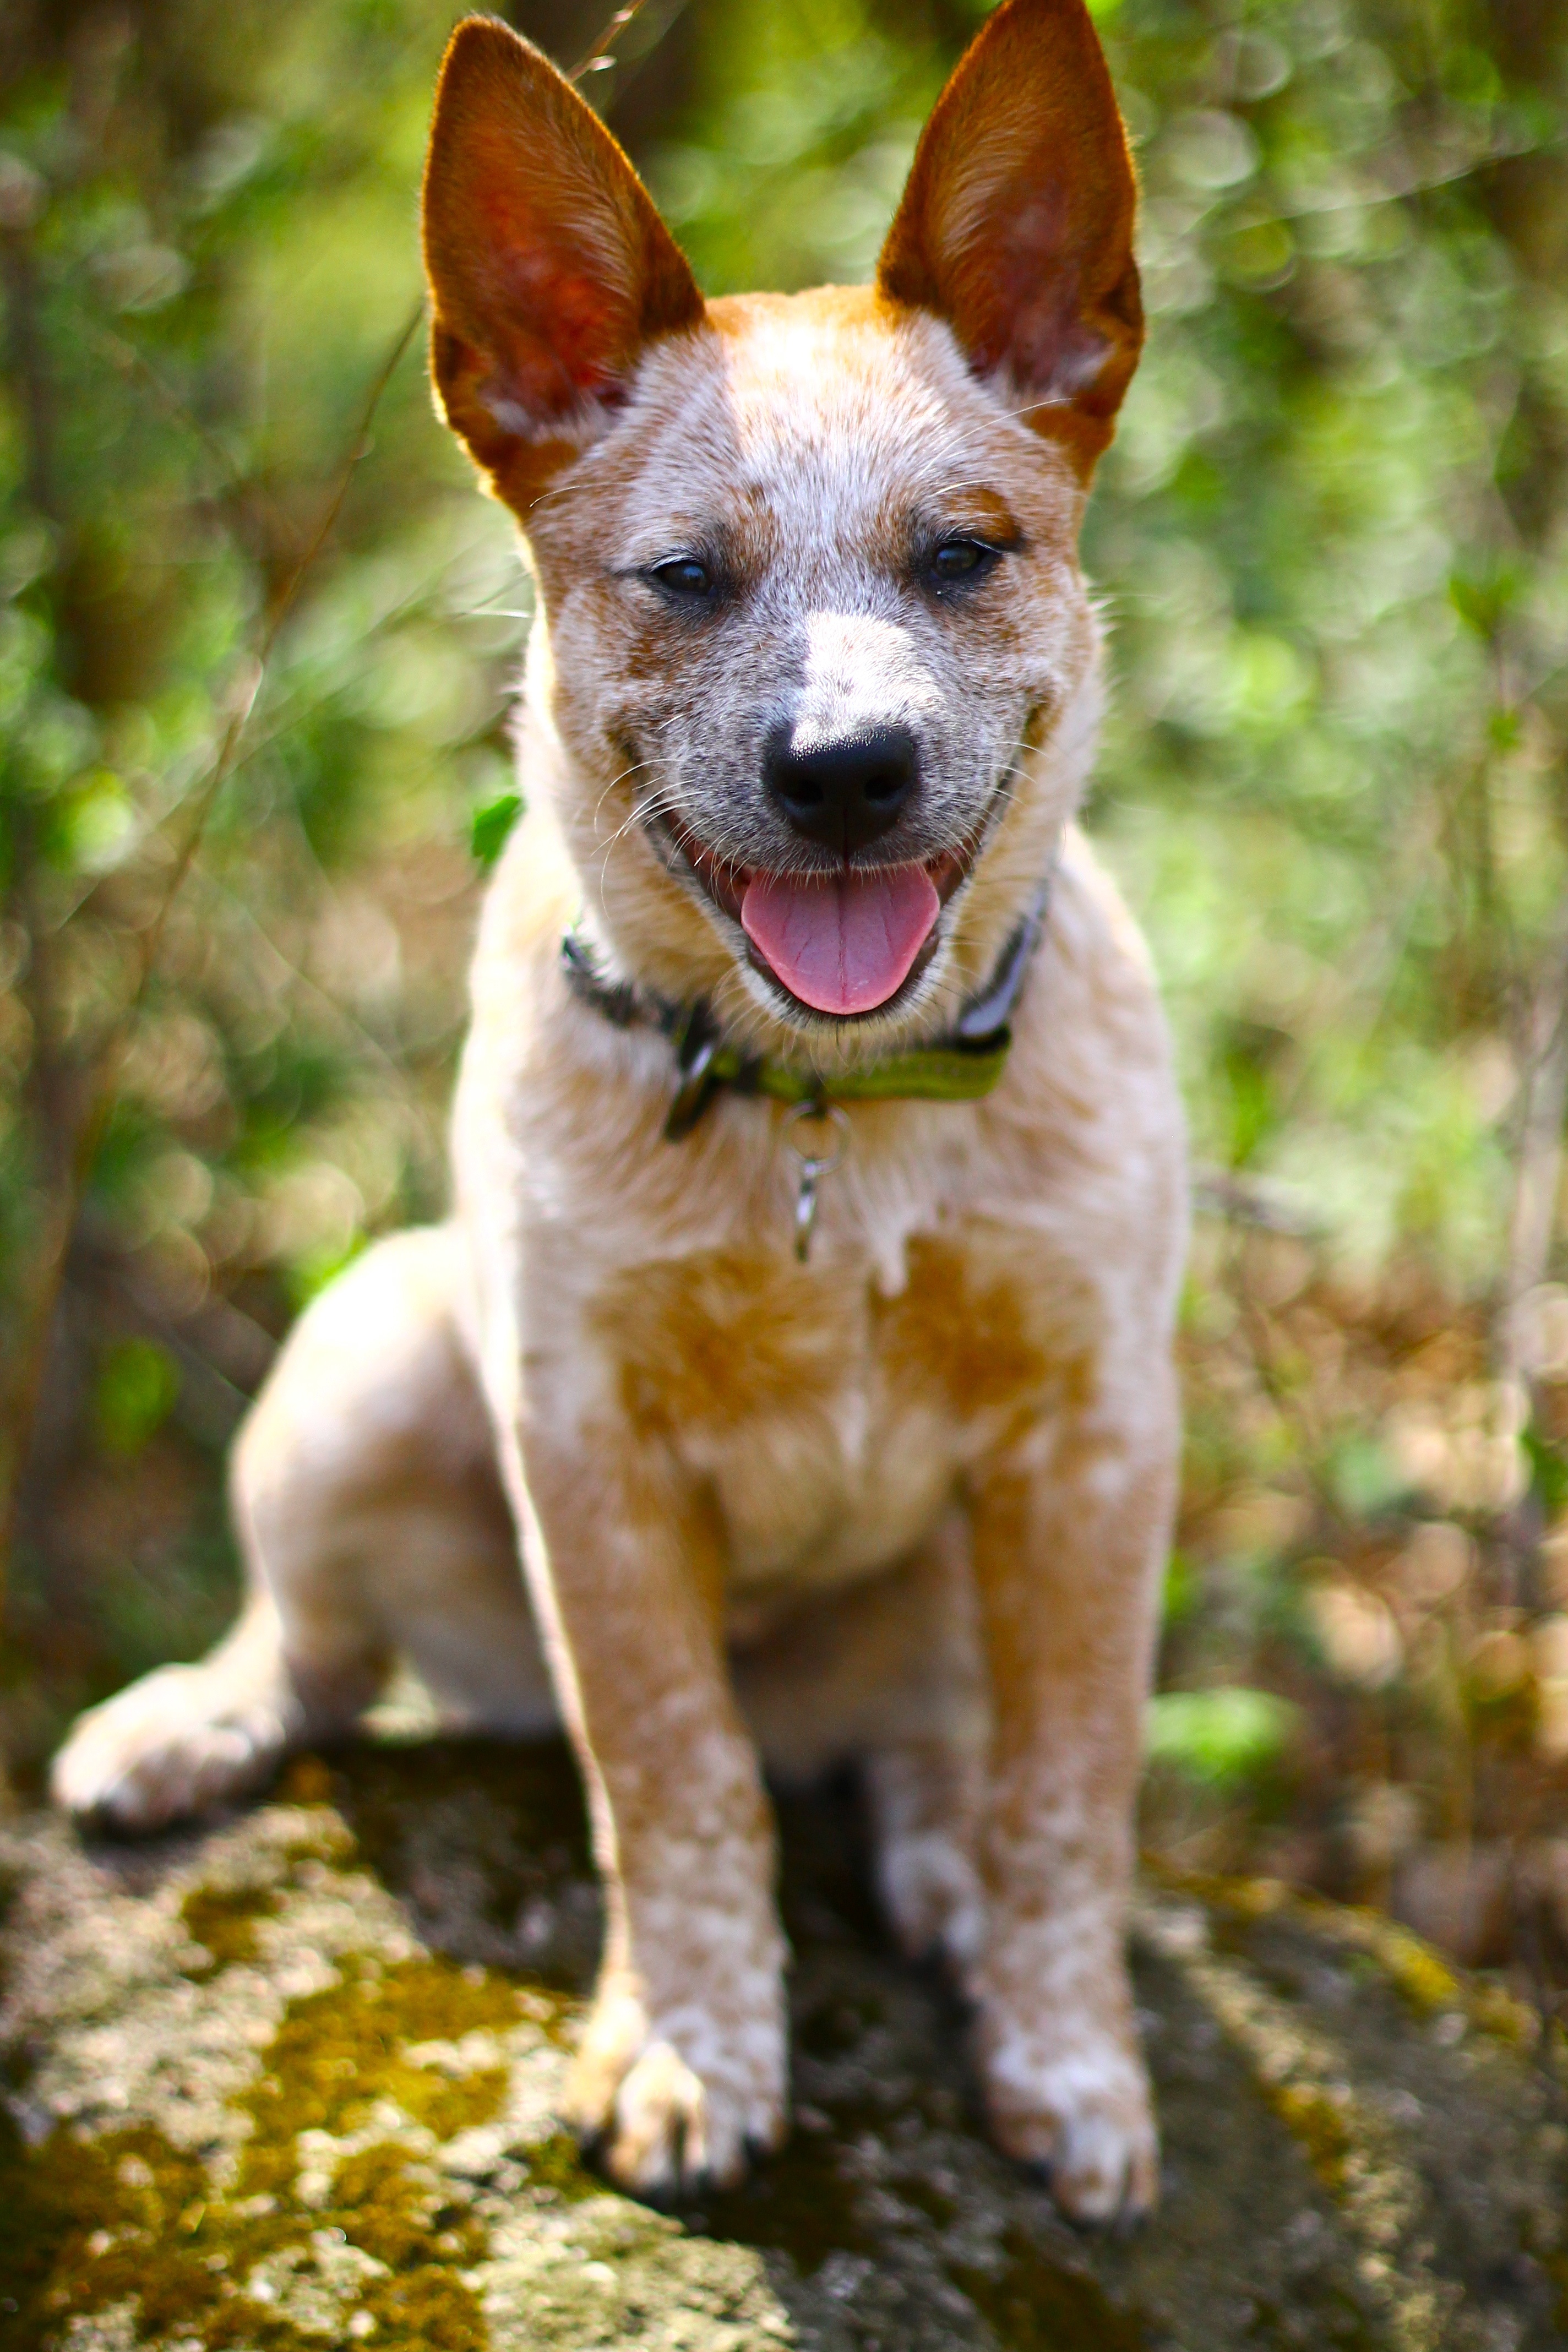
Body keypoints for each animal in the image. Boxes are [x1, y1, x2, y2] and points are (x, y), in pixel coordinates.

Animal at [53, 0, 1186, 2225]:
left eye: (960, 554)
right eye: (682, 575)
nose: (843, 768)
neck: (829, 1120)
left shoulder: (1094, 1438)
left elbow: (1070, 1792)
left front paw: (1069, 2061)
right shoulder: (586, 1440)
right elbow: (670, 1770)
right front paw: (686, 2048)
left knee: (933, 1743)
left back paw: (929, 1856)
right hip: (364, 1349)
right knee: (315, 1647)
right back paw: (186, 1727)